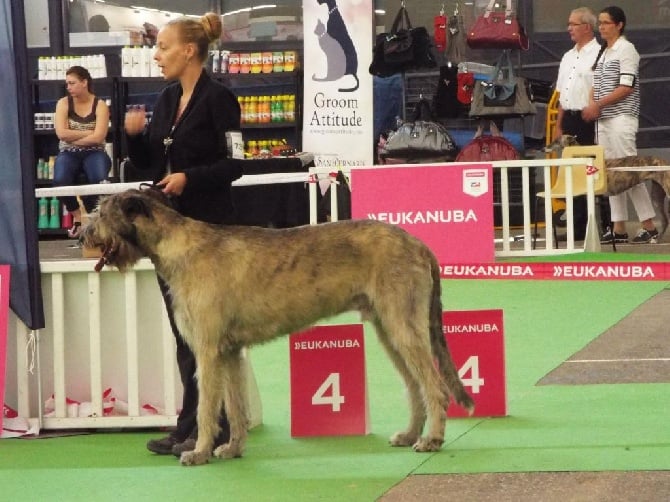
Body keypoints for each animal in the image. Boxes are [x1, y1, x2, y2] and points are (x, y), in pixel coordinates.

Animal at [80, 188, 478, 466]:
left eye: (101, 211)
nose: (81, 233)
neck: (177, 246)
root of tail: (419, 244)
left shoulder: (207, 350)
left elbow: (207, 406)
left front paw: (199, 451)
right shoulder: (229, 351)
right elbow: (235, 404)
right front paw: (233, 447)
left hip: (403, 323)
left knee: (434, 385)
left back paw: (432, 439)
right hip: (388, 327)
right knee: (414, 385)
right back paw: (411, 433)